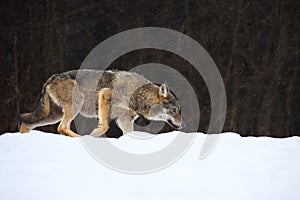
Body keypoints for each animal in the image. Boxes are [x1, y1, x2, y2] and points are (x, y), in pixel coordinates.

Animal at [18, 69, 185, 137]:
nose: (183, 125)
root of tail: (51, 78)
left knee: (26, 124)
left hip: (53, 116)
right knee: (62, 128)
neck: (139, 95)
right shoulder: (105, 96)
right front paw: (92, 137)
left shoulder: (125, 120)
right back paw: (80, 138)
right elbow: (104, 126)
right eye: (175, 110)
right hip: (75, 105)